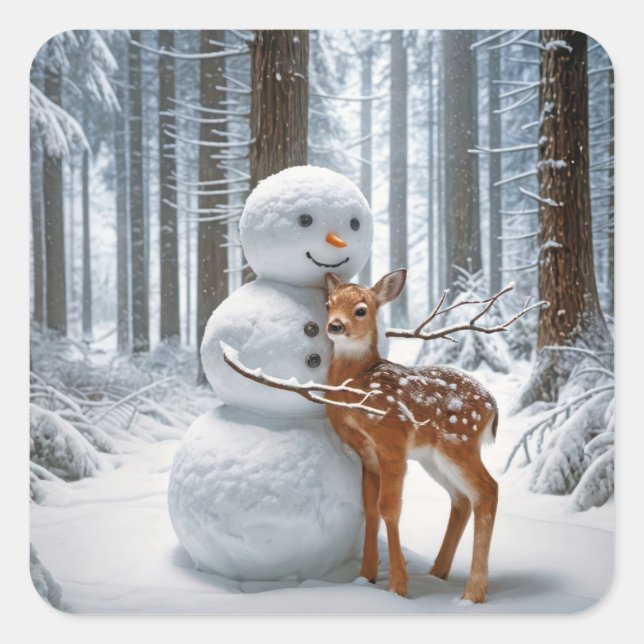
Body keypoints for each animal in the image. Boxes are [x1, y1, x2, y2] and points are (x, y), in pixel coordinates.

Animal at [323, 269, 499, 603]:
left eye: (361, 309)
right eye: (329, 303)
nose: (335, 325)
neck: (357, 383)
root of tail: (493, 405)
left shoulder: (391, 440)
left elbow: (389, 507)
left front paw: (398, 586)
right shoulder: (366, 452)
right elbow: (369, 507)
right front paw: (365, 578)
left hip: (459, 442)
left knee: (488, 491)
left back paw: (472, 594)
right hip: (435, 458)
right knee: (461, 499)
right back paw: (437, 574)